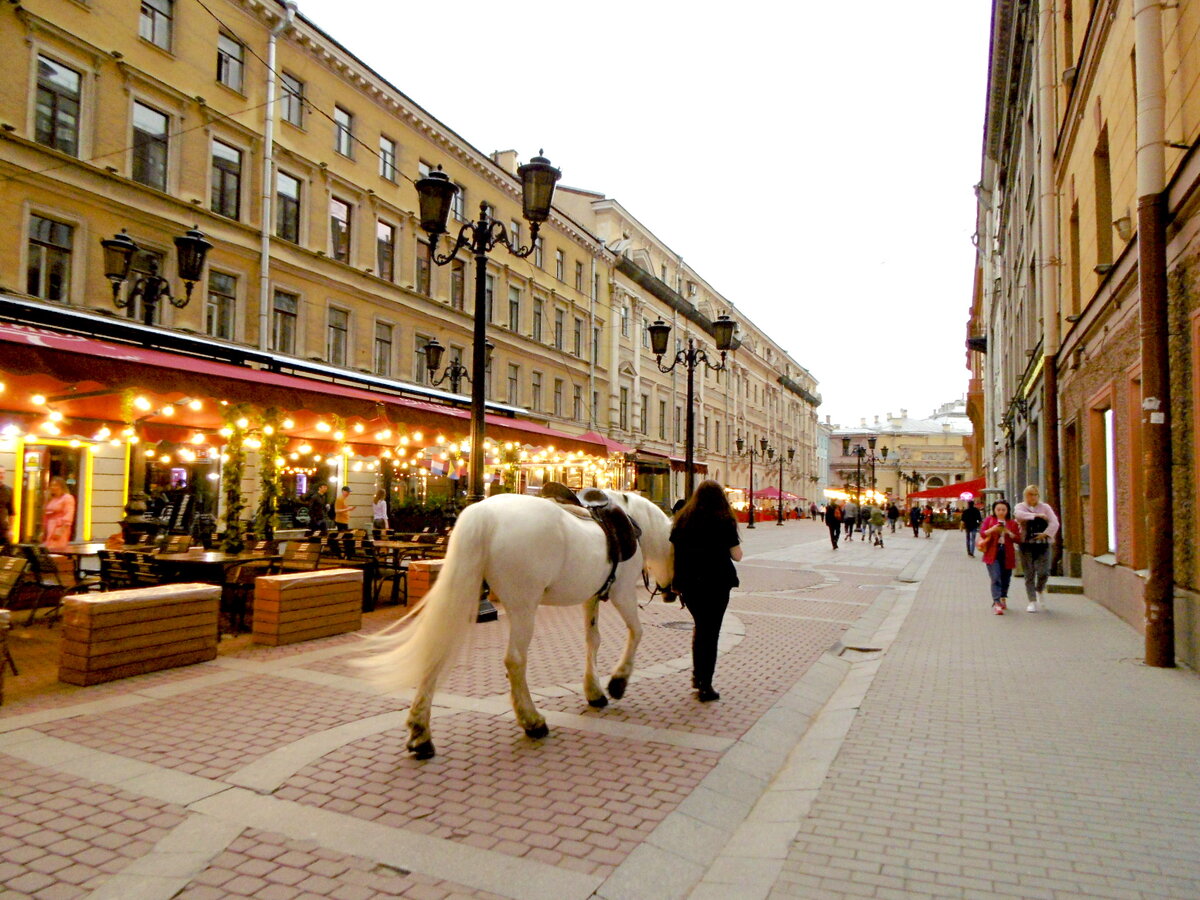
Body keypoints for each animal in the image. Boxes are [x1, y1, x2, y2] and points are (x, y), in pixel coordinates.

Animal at [352, 489, 676, 758]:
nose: (671, 593)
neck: (634, 523)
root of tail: (484, 512)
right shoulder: (622, 593)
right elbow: (636, 632)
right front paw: (618, 682)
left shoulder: (591, 596)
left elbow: (592, 641)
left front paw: (594, 691)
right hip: (523, 607)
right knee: (515, 660)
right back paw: (532, 721)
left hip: (464, 591)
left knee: (436, 649)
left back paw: (421, 734)